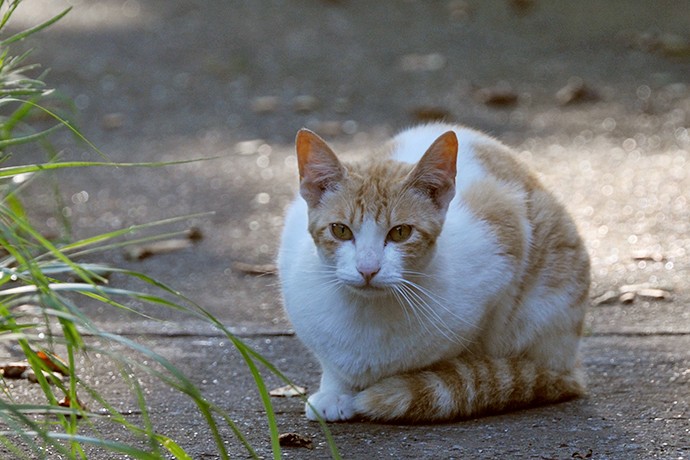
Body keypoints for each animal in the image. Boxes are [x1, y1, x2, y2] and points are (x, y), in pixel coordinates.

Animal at [276, 123, 588, 424]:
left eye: (401, 232)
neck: (366, 314)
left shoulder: (504, 236)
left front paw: (448, 380)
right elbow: (331, 363)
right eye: (340, 230)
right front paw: (335, 391)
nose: (367, 269)